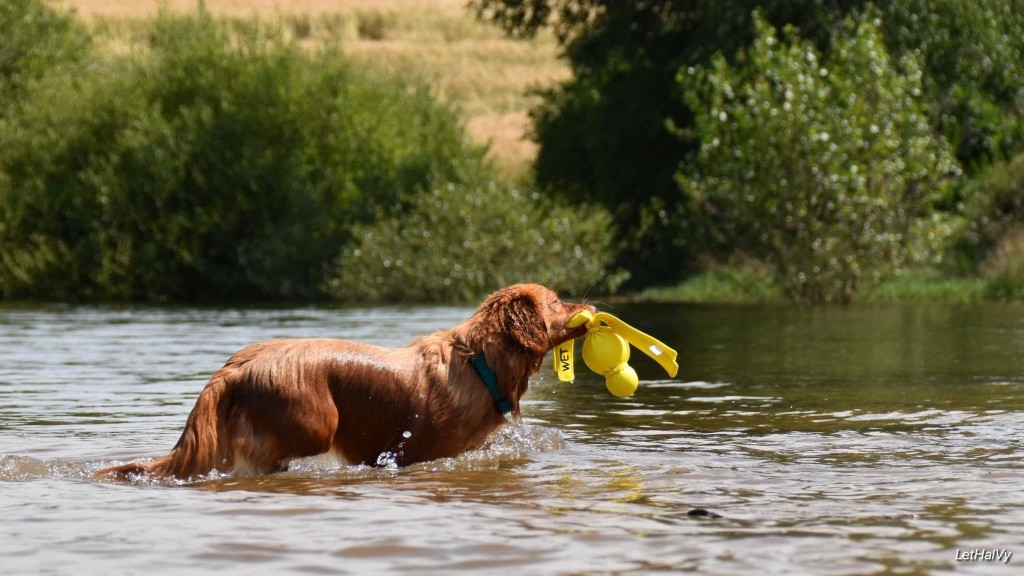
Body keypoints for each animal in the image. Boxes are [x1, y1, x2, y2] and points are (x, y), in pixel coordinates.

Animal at [97, 284, 593, 477]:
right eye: (557, 301)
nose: (590, 303)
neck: (479, 365)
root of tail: (235, 366)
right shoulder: (410, 450)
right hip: (318, 423)